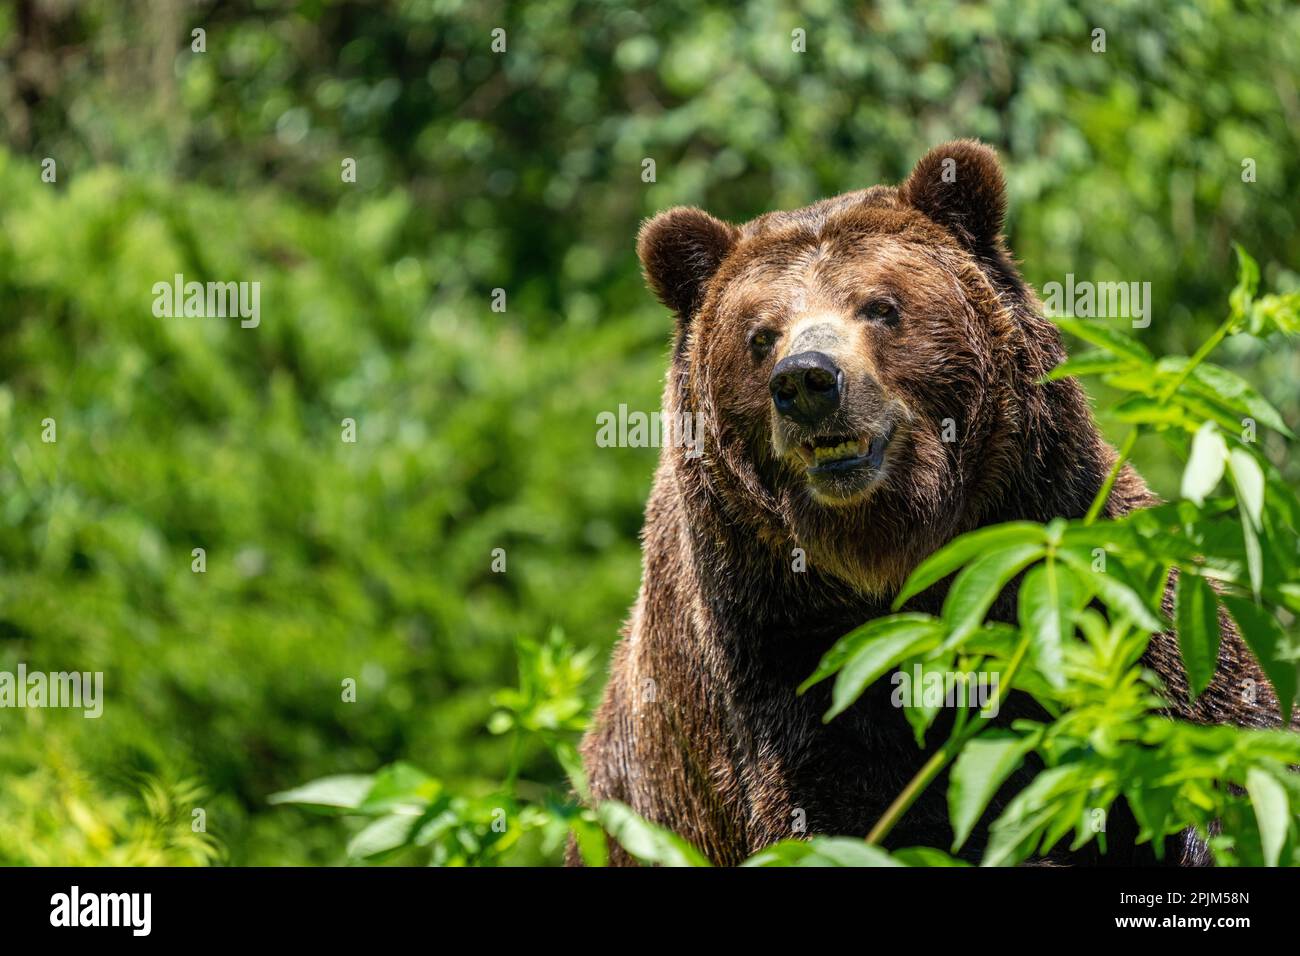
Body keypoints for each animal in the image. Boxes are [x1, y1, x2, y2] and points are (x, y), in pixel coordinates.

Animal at [574, 140, 1286, 867]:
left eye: (880, 306)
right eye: (761, 335)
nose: (806, 380)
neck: (898, 556)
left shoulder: (1085, 556)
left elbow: (1216, 732)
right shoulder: (775, 655)